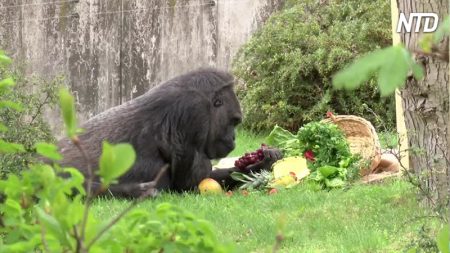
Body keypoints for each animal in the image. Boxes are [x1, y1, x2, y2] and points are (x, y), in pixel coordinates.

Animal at [55, 67, 282, 198]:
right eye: (234, 122)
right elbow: (187, 183)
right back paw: (137, 192)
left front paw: (263, 163)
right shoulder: (194, 112)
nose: (233, 139)